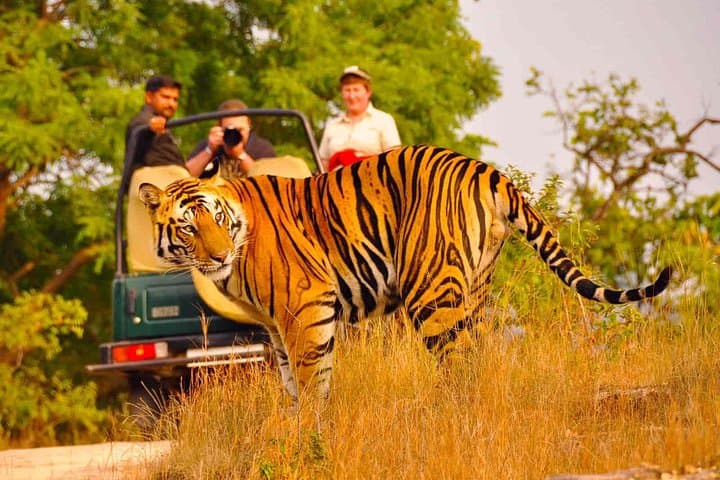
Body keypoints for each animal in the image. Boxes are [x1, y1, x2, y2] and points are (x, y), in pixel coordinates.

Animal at [138, 145, 672, 400]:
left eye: (216, 217)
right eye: (188, 227)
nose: (219, 255)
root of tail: (487, 170)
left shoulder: (305, 308)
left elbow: (312, 385)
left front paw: (310, 440)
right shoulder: (276, 327)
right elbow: (293, 385)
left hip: (431, 292)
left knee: (460, 364)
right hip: (475, 289)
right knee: (481, 357)